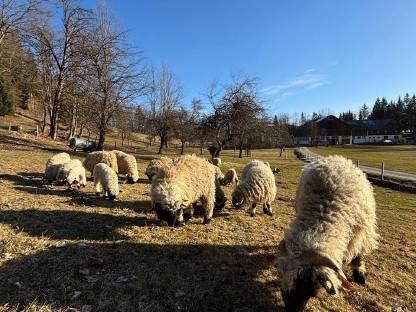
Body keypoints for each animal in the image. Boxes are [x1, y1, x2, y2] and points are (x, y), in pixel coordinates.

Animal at [274, 155, 378, 310]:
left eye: (305, 280)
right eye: (281, 274)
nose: (292, 309)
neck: (325, 212)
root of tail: (334, 158)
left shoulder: (360, 231)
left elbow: (358, 255)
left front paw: (360, 275)